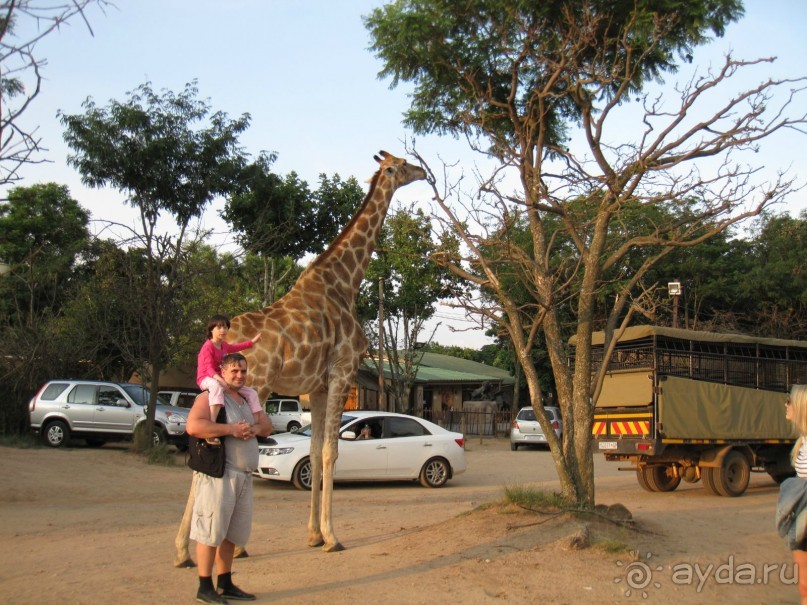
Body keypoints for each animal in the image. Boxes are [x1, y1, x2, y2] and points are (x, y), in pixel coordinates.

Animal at [177, 151, 430, 556]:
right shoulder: (342, 372)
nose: (423, 170)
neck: (346, 282)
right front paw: (332, 537)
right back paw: (211, 547)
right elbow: (330, 452)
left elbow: (313, 450)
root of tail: (220, 340)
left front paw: (313, 534)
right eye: (403, 164)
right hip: (255, 385)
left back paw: (187, 550)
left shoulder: (317, 386)